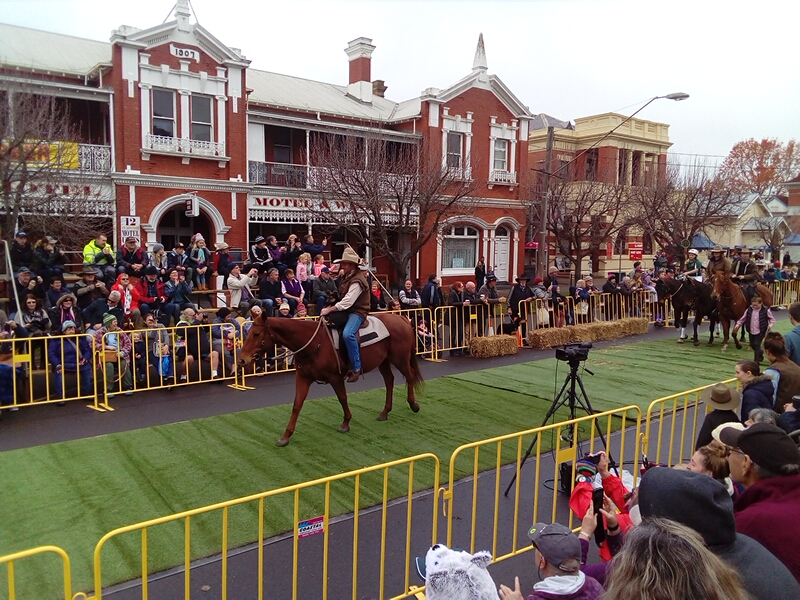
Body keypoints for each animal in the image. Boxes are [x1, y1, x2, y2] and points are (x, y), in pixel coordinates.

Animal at [238, 314, 424, 446]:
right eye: (248, 333)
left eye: (256, 334)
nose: (242, 360)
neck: (314, 342)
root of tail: (401, 318)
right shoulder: (303, 377)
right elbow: (297, 404)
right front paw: (285, 436)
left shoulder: (335, 377)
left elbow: (342, 398)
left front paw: (346, 423)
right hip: (384, 361)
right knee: (389, 381)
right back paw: (385, 412)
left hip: (400, 359)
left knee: (409, 376)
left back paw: (413, 404)